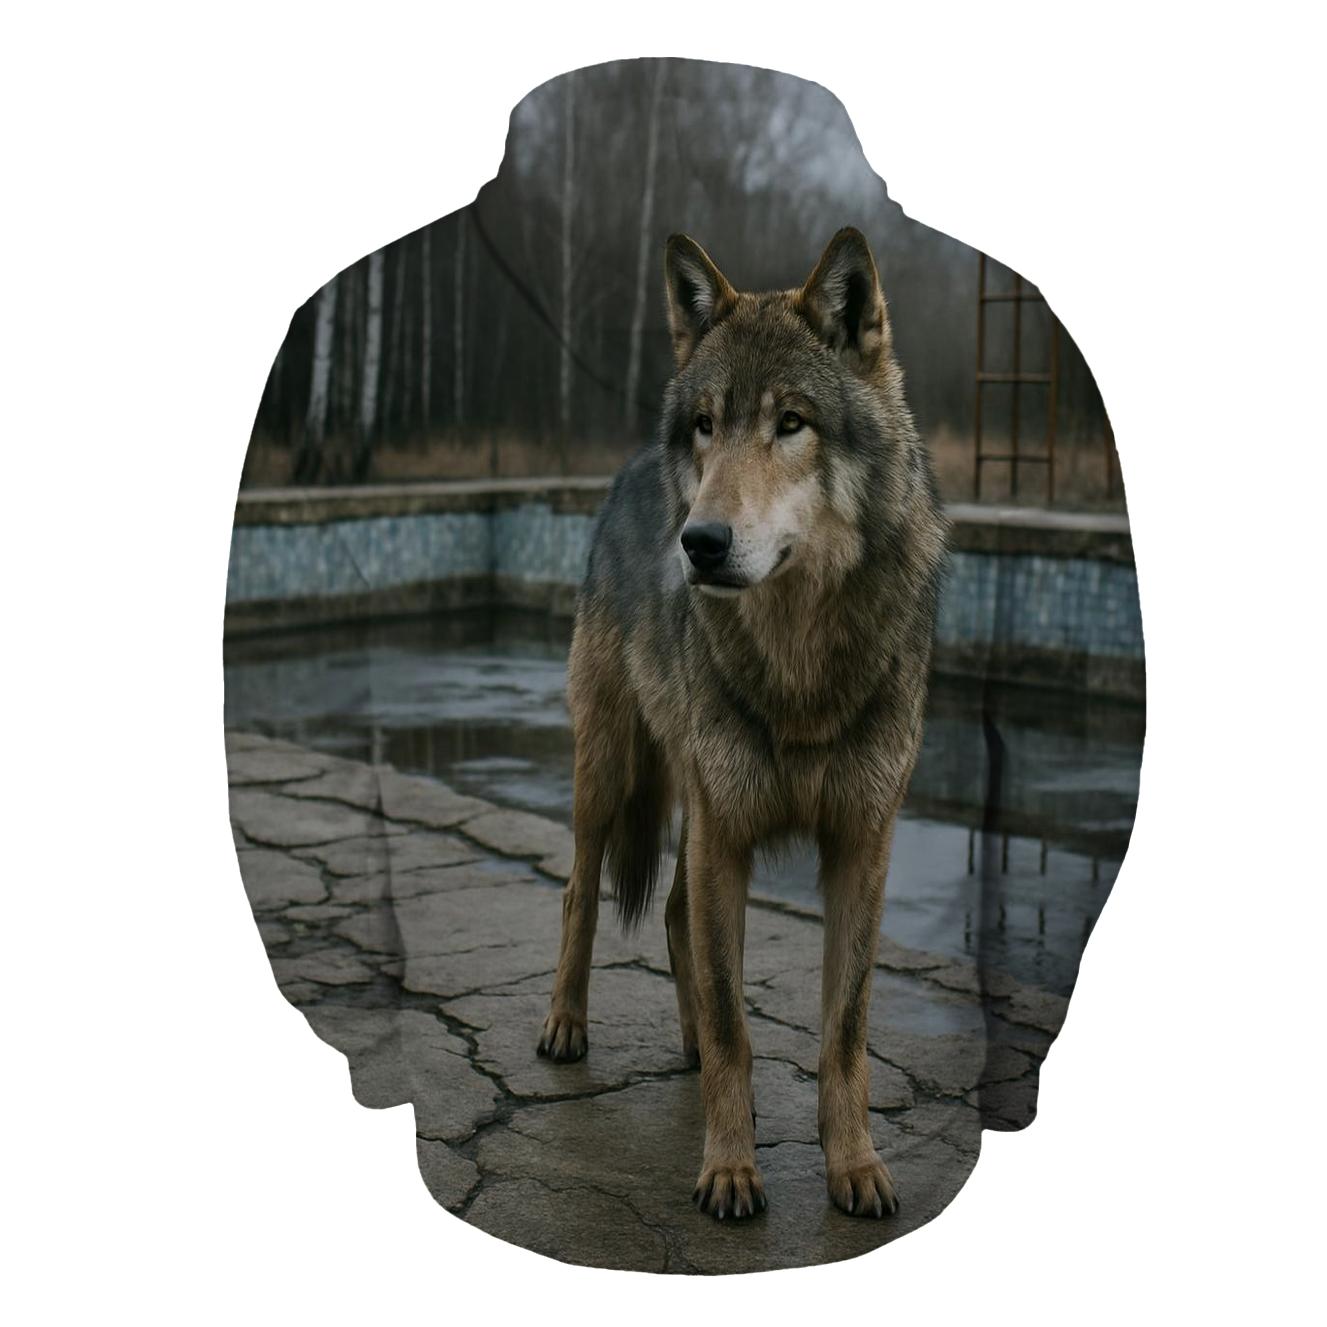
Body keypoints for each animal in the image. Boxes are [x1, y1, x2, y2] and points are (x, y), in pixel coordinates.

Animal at [536, 228, 948, 1221]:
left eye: (790, 423)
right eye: (706, 424)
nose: (700, 542)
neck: (799, 661)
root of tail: (625, 470)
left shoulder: (859, 843)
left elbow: (843, 1029)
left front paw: (855, 1166)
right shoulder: (728, 833)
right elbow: (735, 1023)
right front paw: (728, 1169)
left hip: (690, 796)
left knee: (675, 914)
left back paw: (680, 1046)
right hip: (611, 771)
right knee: (579, 893)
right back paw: (565, 1024)